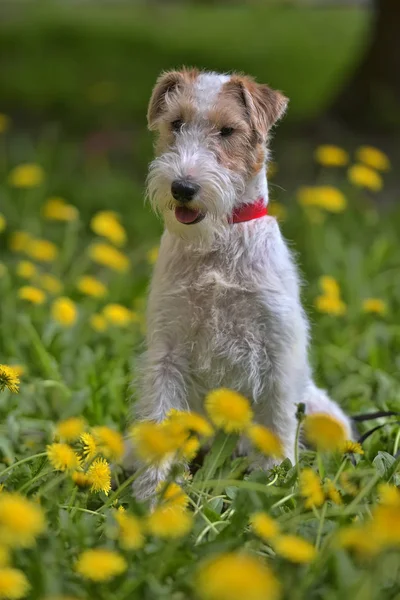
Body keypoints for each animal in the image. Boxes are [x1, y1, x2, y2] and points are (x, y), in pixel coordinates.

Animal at [131, 68, 350, 500]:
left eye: (228, 130)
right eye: (175, 123)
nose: (183, 187)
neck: (218, 244)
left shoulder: (278, 352)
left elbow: (278, 424)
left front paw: (276, 483)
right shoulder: (167, 351)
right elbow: (161, 416)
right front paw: (153, 495)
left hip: (324, 414)